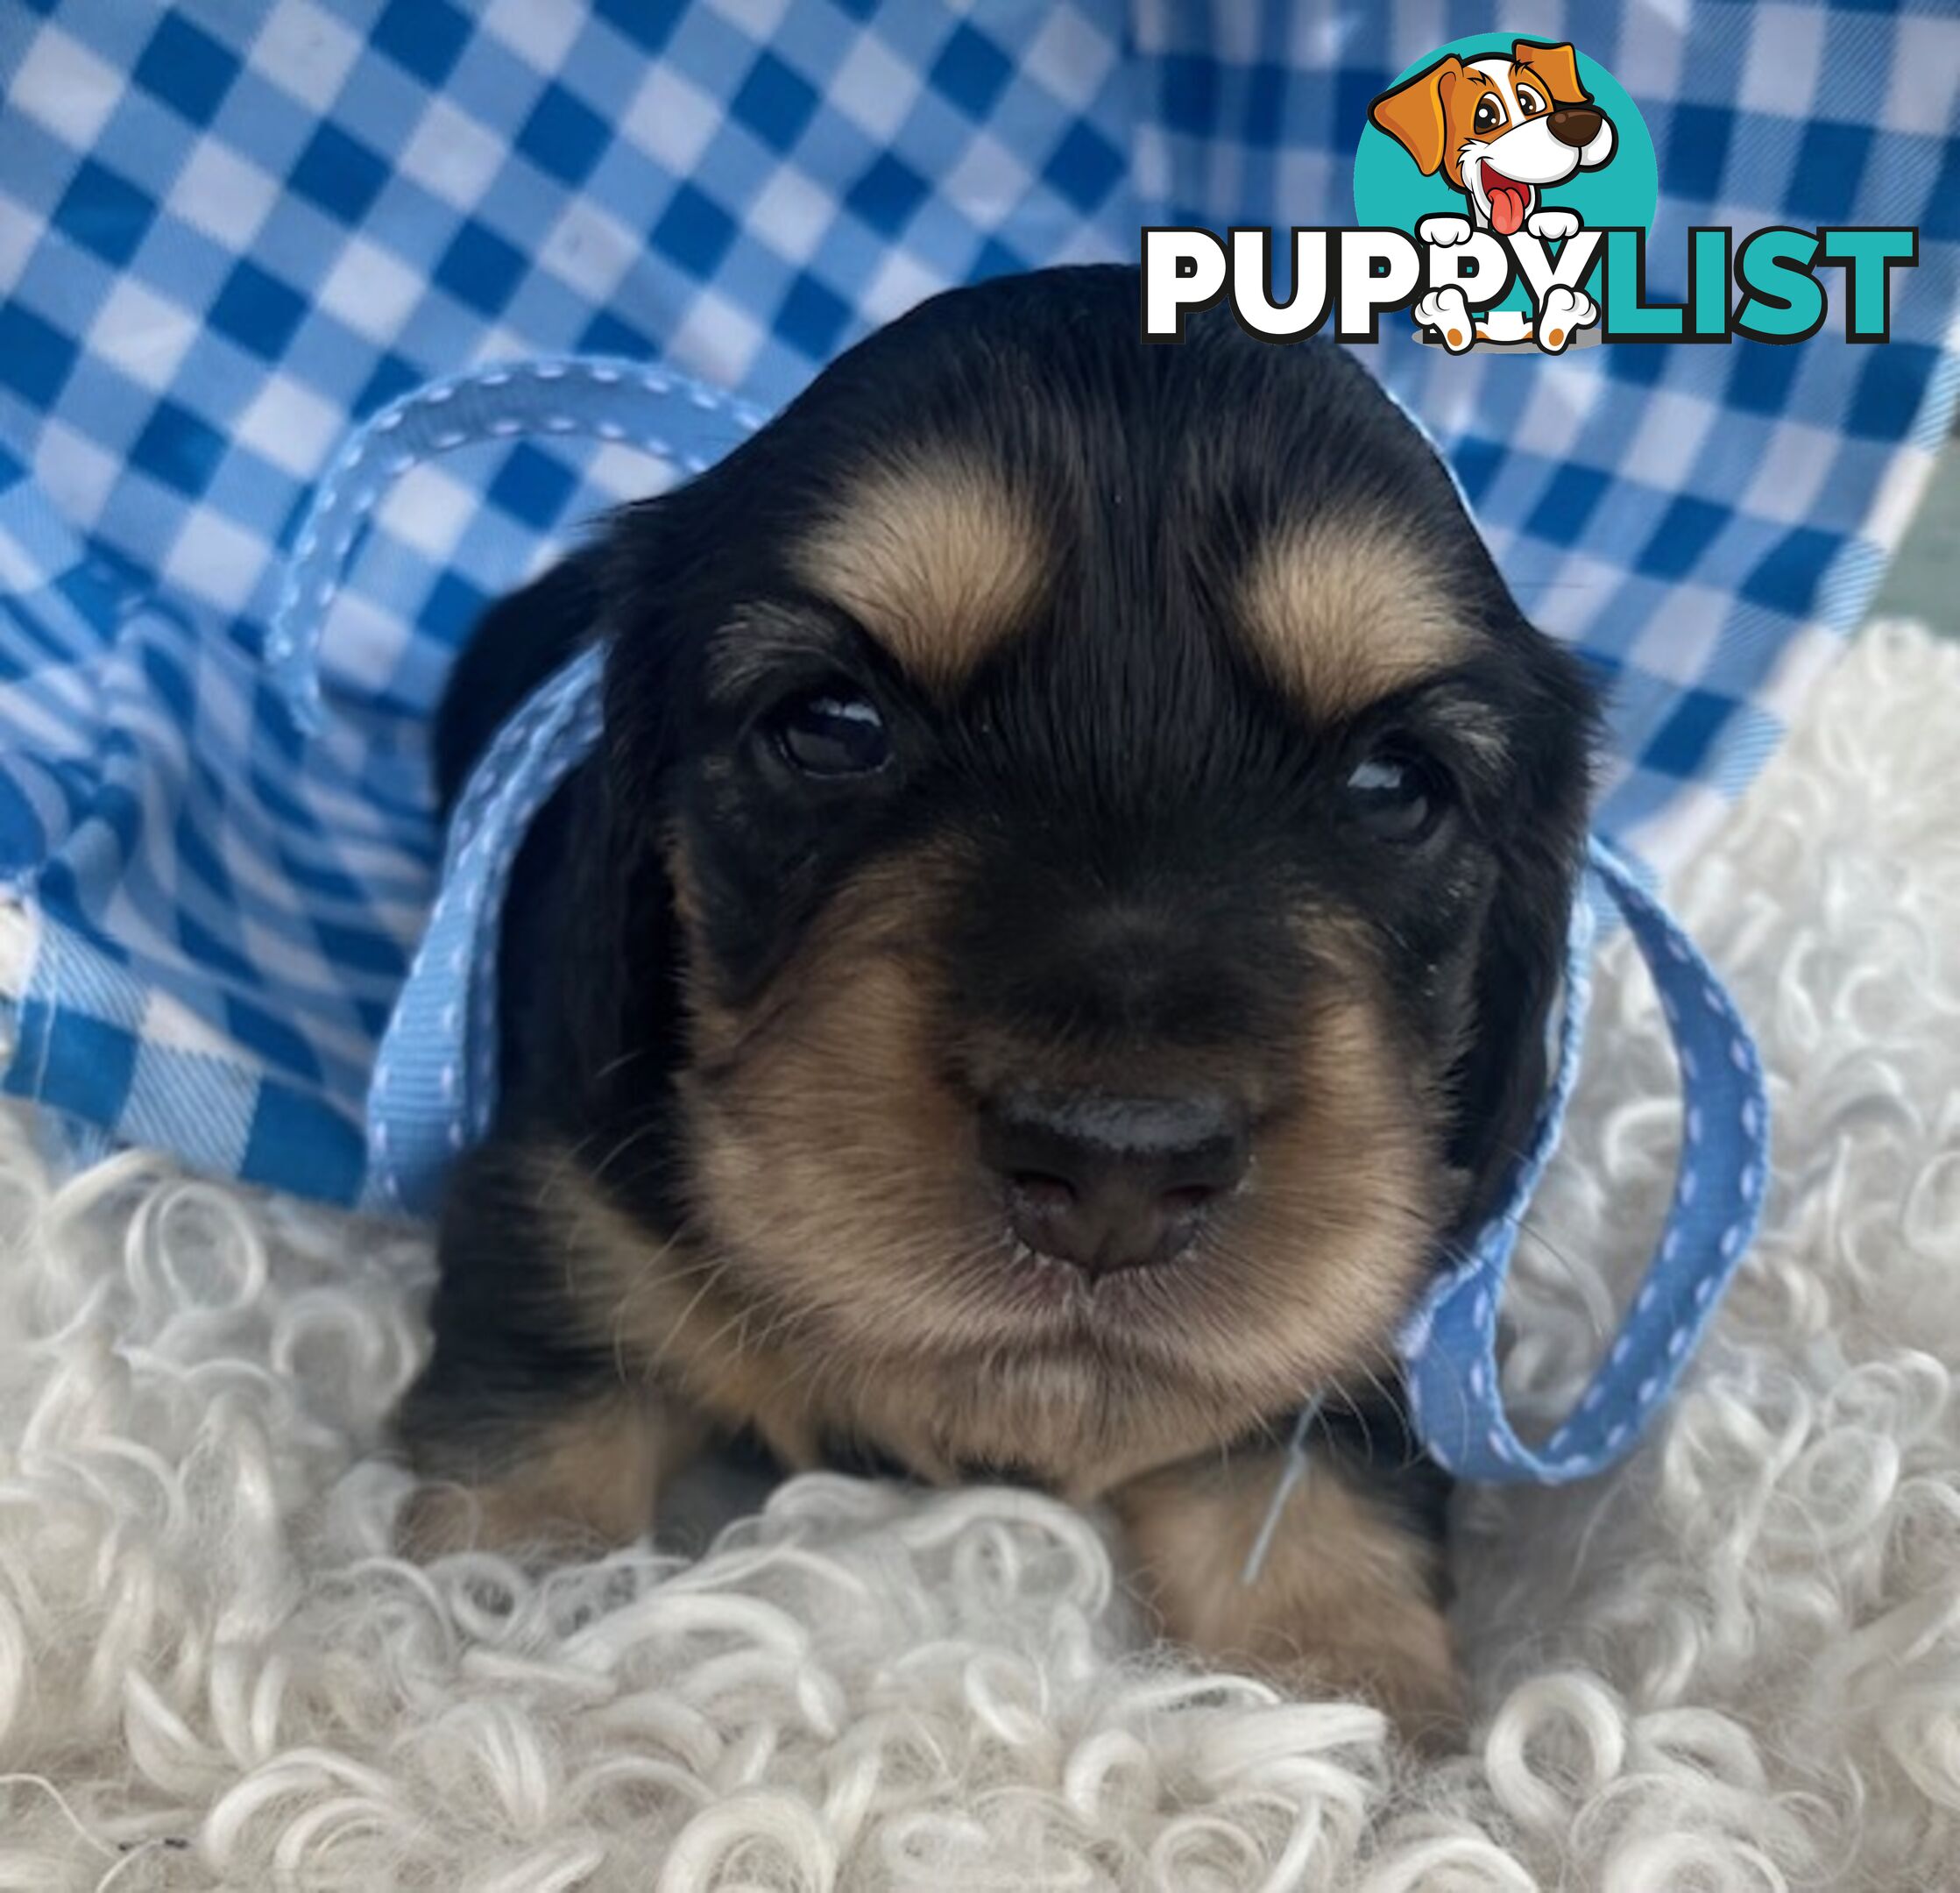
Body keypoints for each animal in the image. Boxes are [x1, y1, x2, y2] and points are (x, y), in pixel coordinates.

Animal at [393, 270, 1591, 1748]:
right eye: (833, 722)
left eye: (1395, 785)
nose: (1118, 1169)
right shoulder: (557, 1223)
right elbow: (519, 1500)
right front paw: (476, 1690)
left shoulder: (1372, 1322)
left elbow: (1322, 1522)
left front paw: (1373, 1745)